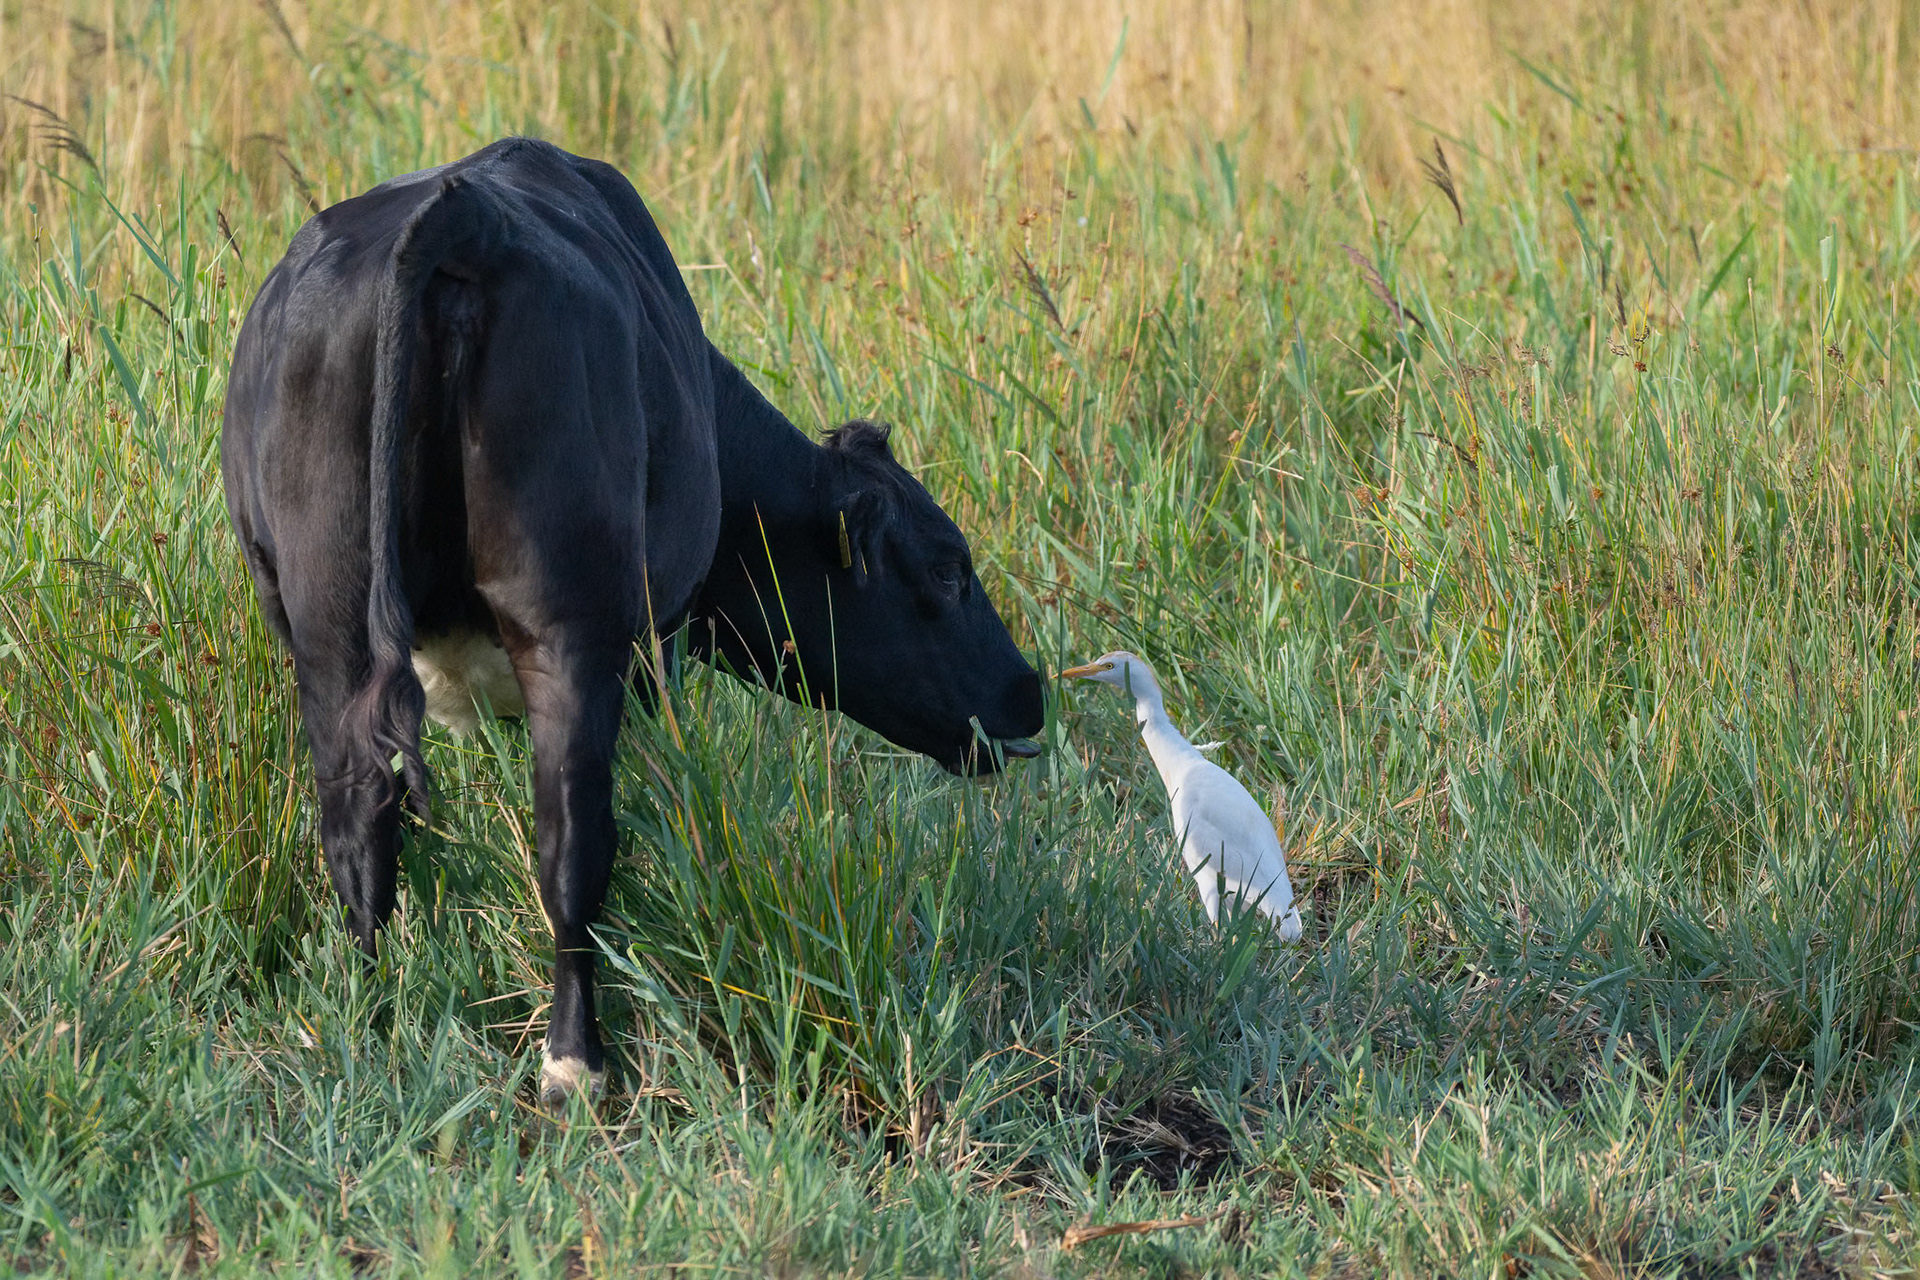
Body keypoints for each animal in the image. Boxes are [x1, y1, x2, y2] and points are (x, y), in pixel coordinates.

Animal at [221, 137, 1044, 1103]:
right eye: (950, 570)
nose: (1030, 689)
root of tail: (465, 214)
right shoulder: (655, 651)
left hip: (330, 624)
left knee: (358, 816)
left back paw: (371, 1014)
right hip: (572, 622)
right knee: (572, 838)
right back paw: (576, 1062)